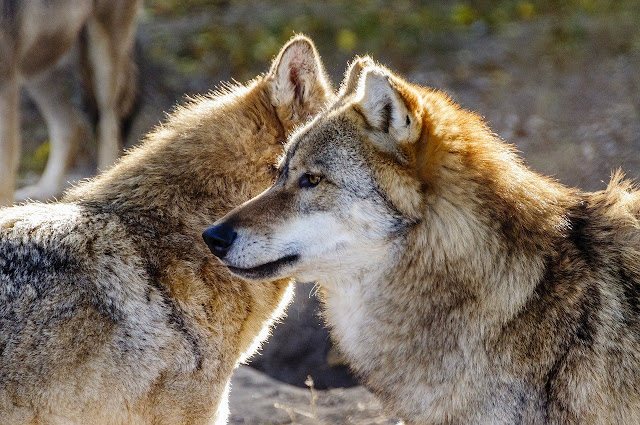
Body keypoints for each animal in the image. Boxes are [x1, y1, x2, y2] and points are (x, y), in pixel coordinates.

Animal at [0, 0, 141, 205]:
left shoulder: (6, 79)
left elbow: (4, 175)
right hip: (35, 66)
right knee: (71, 124)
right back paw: (44, 192)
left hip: (102, 55)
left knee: (109, 127)